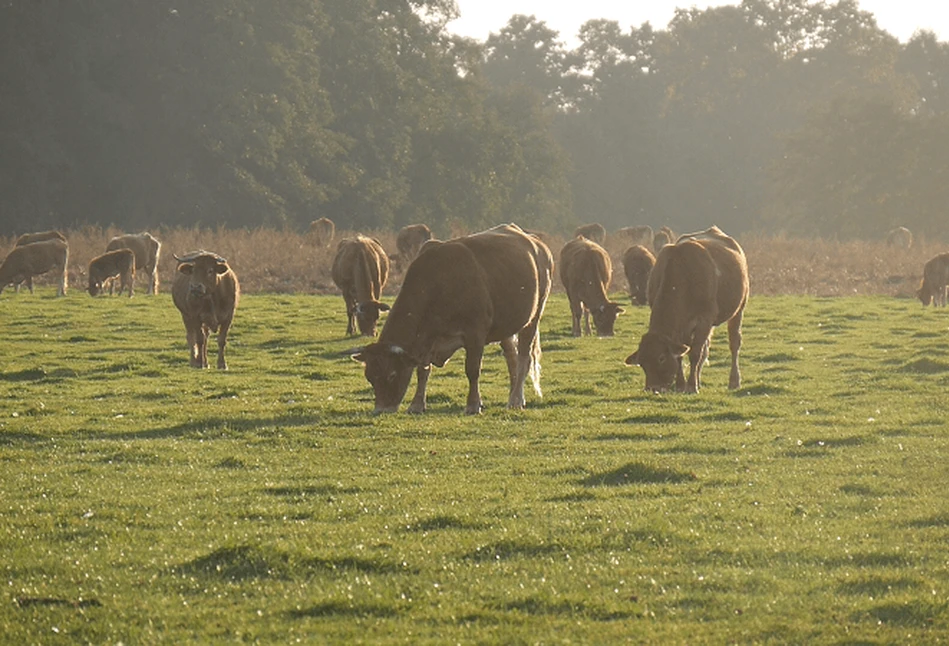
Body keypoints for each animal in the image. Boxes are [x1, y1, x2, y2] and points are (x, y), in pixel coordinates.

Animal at [352, 224, 552, 416]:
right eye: (370, 377)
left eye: (392, 375)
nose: (381, 410)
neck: (439, 283)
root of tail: (536, 243)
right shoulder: (426, 339)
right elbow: (422, 370)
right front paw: (416, 404)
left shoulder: (475, 334)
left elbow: (472, 370)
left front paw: (473, 405)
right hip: (505, 327)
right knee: (512, 358)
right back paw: (513, 395)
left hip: (532, 318)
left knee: (524, 358)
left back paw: (516, 399)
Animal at [624, 228, 748, 400]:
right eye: (642, 362)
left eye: (661, 358)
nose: (653, 388)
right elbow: (682, 355)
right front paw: (681, 385)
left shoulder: (704, 319)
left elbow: (695, 353)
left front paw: (691, 387)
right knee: (705, 348)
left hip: (738, 310)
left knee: (734, 343)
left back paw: (734, 381)